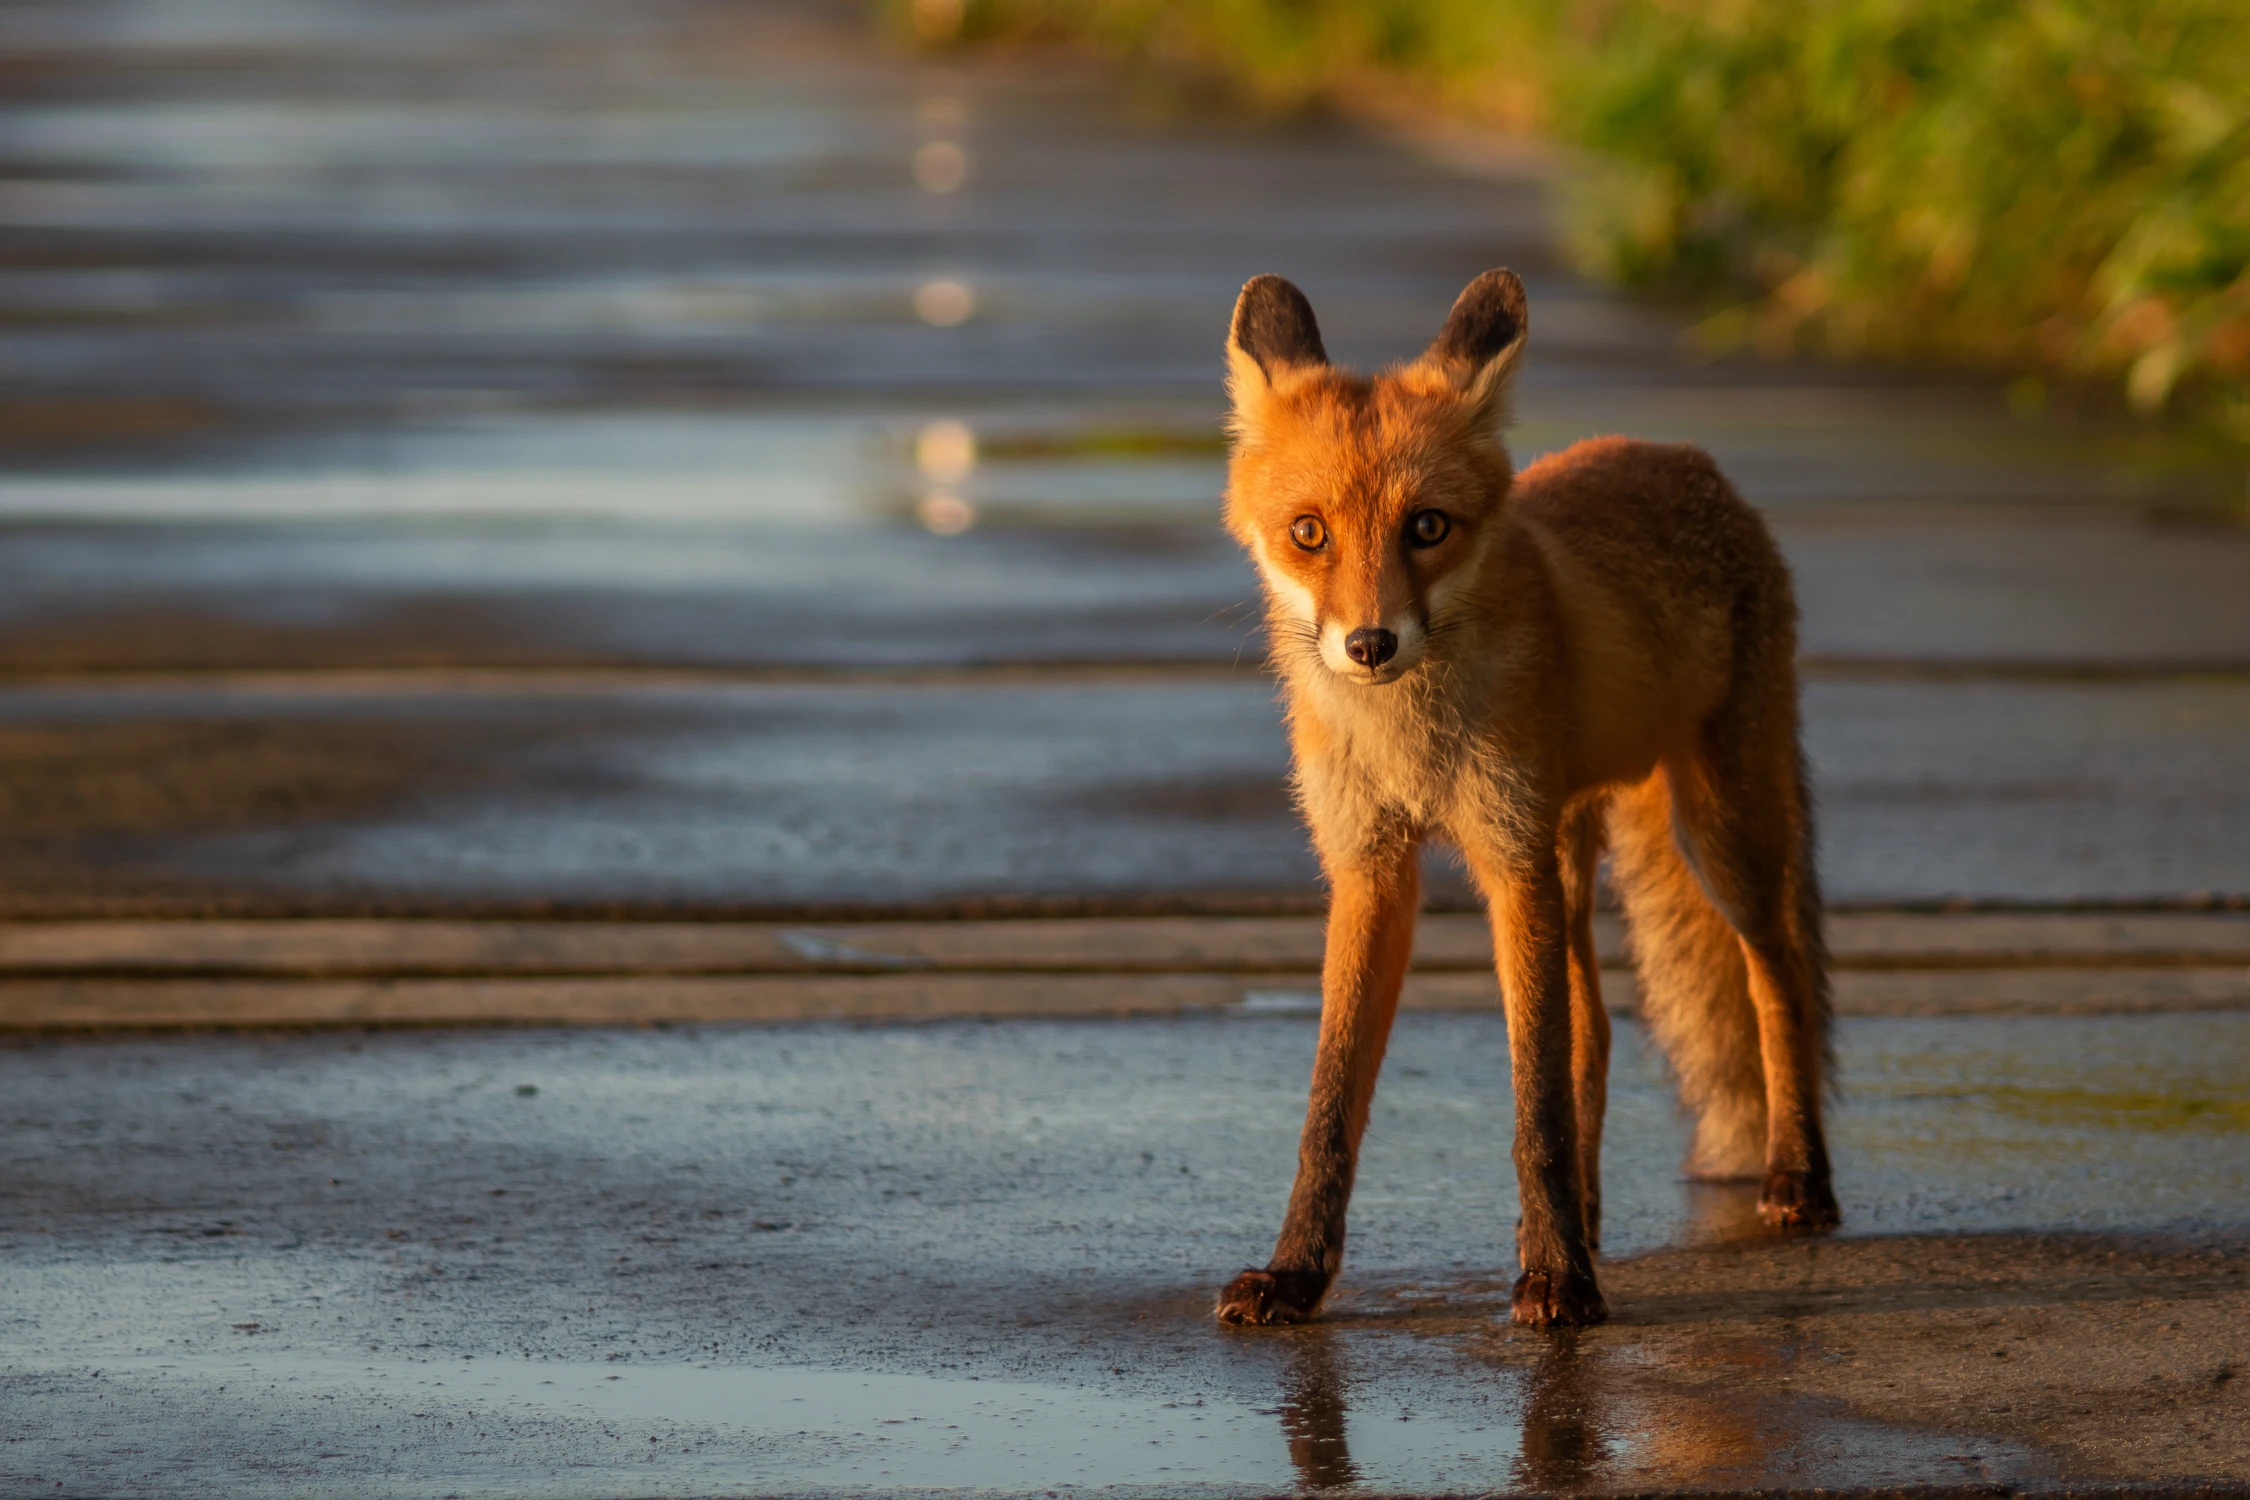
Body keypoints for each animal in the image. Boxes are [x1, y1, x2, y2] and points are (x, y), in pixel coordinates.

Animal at [1215, 269, 1827, 1322]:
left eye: (1428, 527)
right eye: (1309, 534)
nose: (1369, 644)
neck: (1413, 745)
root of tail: (1680, 453)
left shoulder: (1507, 860)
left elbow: (1533, 1100)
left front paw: (1557, 1279)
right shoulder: (1371, 868)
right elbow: (1331, 1104)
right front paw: (1295, 1274)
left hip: (1714, 833)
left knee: (1773, 977)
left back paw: (1797, 1179)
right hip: (1570, 859)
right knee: (1599, 1036)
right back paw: (1588, 1215)